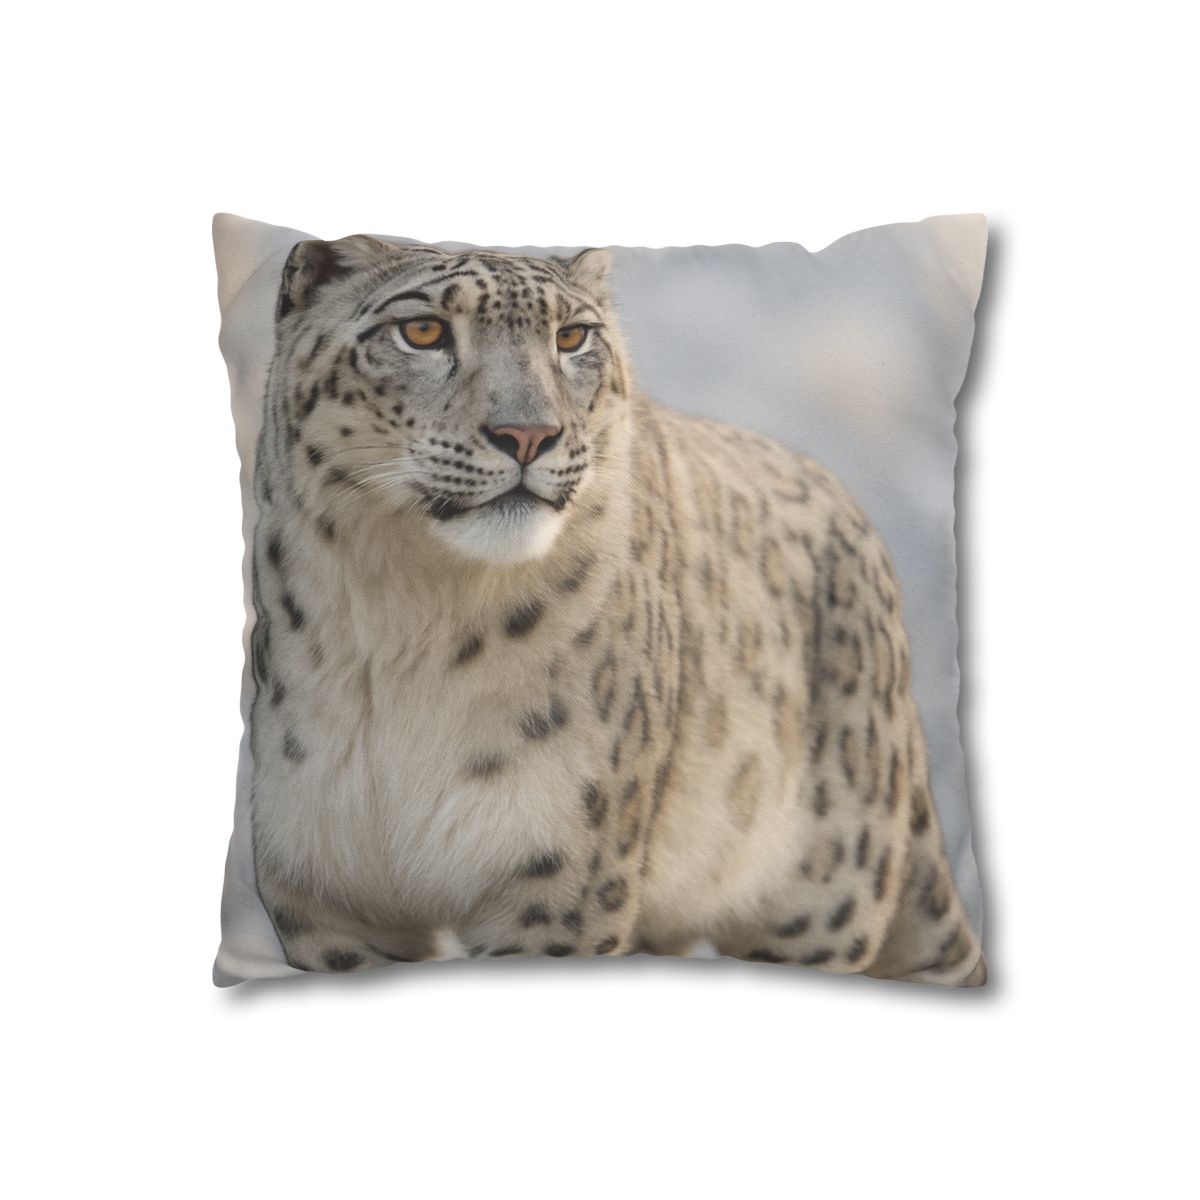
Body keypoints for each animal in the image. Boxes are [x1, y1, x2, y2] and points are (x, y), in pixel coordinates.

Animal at [247, 234, 985, 987]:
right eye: (422, 331)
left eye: (572, 337)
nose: (527, 434)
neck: (408, 622)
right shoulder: (327, 895)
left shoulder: (560, 883)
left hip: (820, 902)